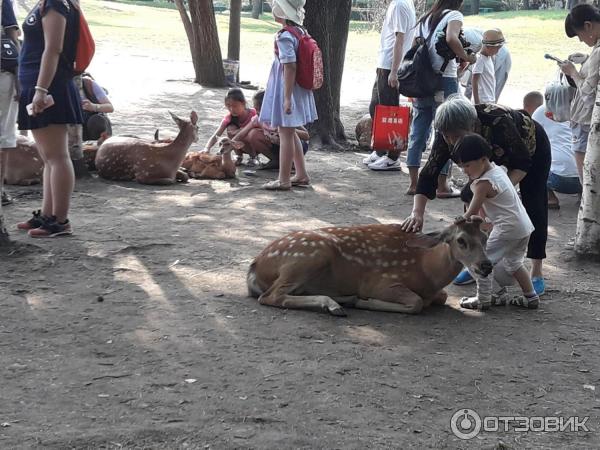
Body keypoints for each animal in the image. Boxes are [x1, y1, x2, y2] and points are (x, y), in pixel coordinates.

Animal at [248, 217, 492, 316]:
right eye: (461, 240)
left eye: (485, 237)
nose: (486, 265)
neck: (426, 271)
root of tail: (254, 266)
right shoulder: (382, 282)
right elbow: (416, 303)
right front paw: (364, 302)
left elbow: (441, 296)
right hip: (310, 254)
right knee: (271, 296)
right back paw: (338, 305)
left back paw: (339, 301)